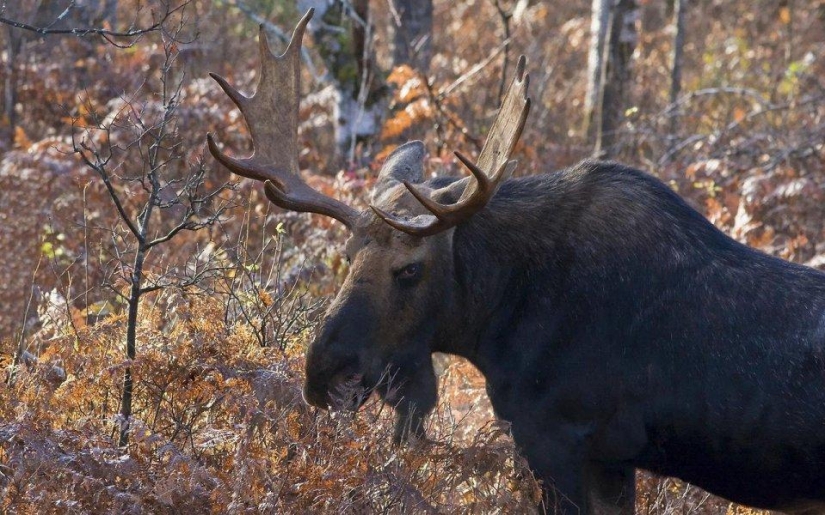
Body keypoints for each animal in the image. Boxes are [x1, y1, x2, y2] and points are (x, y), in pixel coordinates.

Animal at [208, 8, 824, 515]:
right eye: (348, 255)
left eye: (411, 268)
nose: (322, 372)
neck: (497, 323)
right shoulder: (611, 460)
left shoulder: (555, 439)